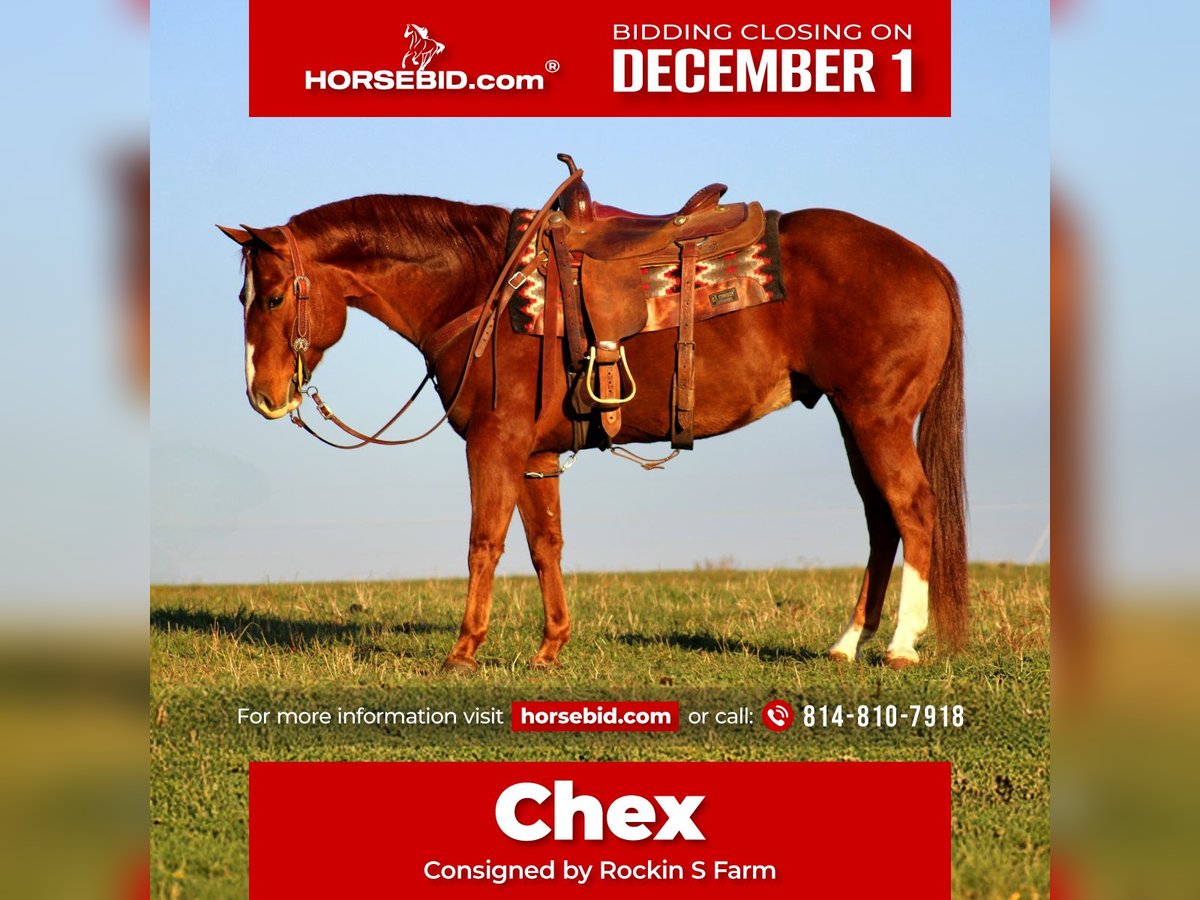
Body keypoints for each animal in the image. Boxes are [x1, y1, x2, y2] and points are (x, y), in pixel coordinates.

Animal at [217, 175, 967, 673]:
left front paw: (464, 651)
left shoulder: (494, 443)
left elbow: (484, 542)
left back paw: (901, 647)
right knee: (880, 520)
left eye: (274, 296)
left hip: (877, 417)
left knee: (913, 509)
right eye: (244, 297)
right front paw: (550, 647)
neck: (480, 290)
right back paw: (846, 644)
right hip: (852, 419)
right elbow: (544, 544)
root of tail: (926, 263)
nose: (263, 395)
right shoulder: (534, 455)